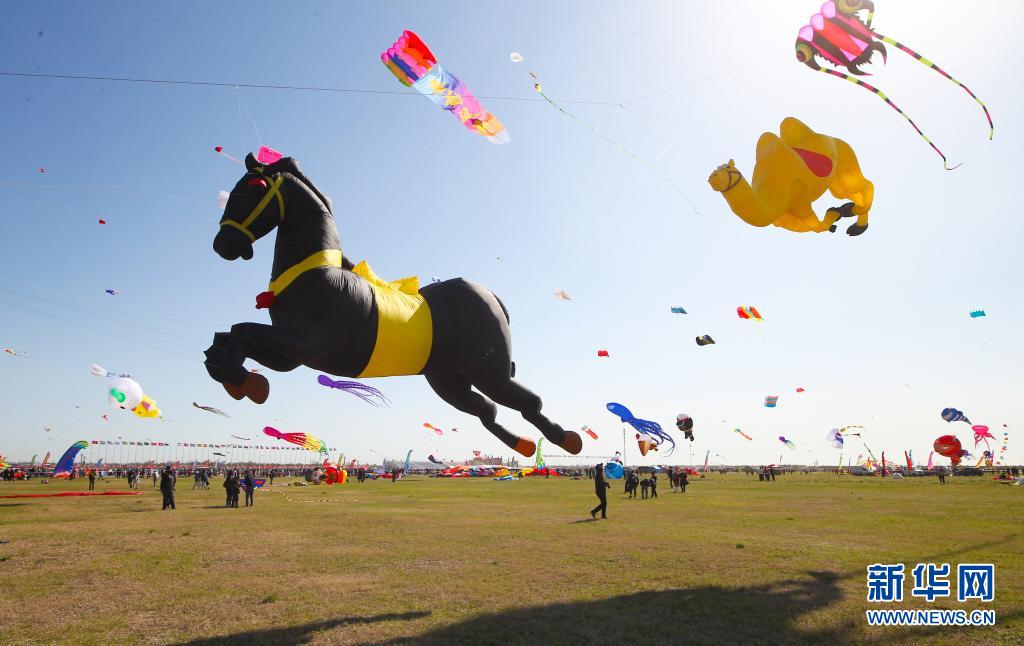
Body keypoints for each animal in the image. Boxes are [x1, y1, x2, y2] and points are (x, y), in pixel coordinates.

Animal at [206, 153, 582, 458]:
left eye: (254, 187)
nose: (223, 244)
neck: (314, 276)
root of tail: (487, 294)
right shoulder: (291, 355)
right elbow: (225, 339)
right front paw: (235, 378)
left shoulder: (306, 345)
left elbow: (241, 332)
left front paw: (242, 379)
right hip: (449, 380)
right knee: (487, 410)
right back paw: (523, 444)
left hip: (488, 371)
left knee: (528, 402)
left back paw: (565, 438)